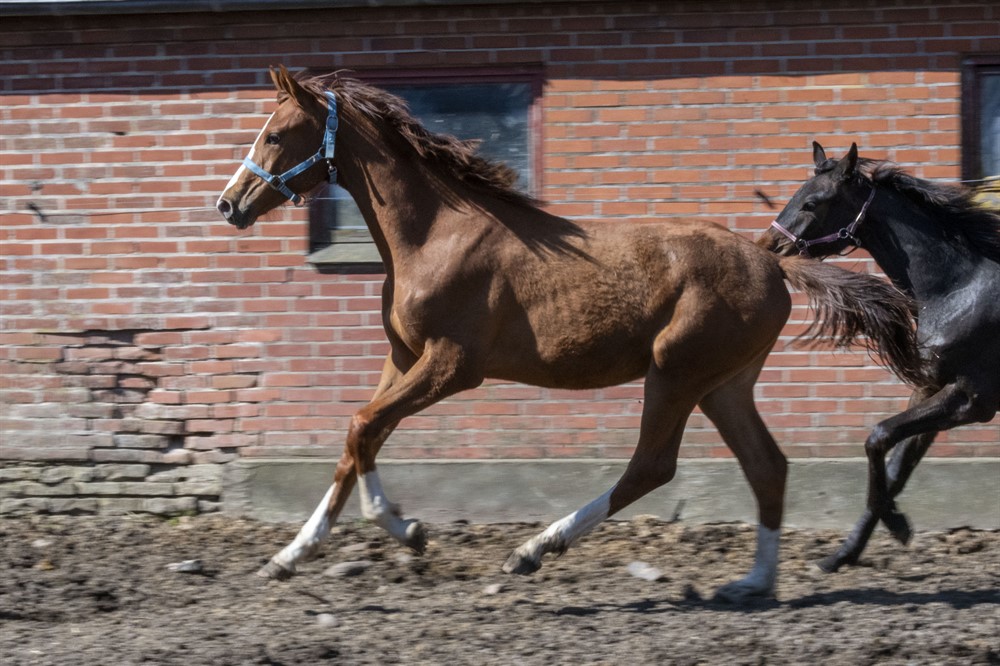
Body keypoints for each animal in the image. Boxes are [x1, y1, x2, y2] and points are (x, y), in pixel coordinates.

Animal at [216, 67, 925, 601]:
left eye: (277, 134)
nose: (230, 204)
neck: (434, 235)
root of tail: (773, 262)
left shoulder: (452, 364)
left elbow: (363, 427)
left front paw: (407, 528)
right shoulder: (402, 358)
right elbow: (356, 438)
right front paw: (288, 557)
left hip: (677, 371)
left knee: (652, 466)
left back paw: (533, 549)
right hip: (725, 383)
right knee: (767, 466)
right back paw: (753, 582)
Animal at [761, 142, 1000, 572]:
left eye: (812, 202)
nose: (769, 247)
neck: (957, 289)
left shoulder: (970, 400)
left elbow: (878, 437)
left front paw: (897, 524)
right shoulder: (930, 390)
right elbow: (897, 467)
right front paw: (840, 555)